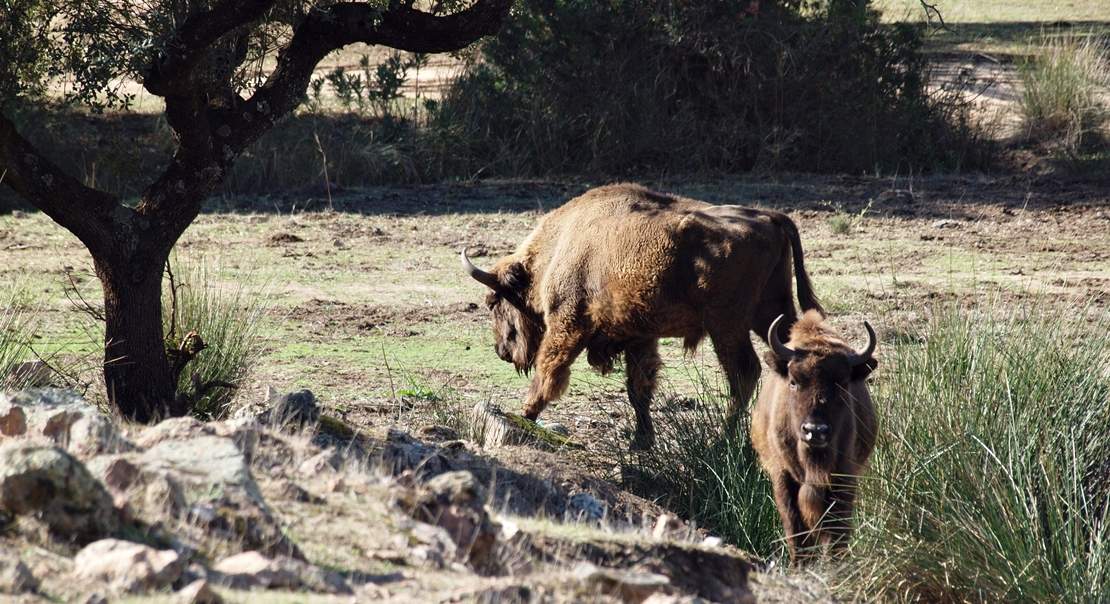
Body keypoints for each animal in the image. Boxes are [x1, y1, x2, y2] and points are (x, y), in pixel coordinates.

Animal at [459, 182, 825, 446]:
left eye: (494, 302)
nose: (502, 351)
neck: (559, 247)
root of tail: (769, 216)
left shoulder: (568, 324)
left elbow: (548, 370)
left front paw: (526, 414)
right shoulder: (640, 336)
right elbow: (639, 388)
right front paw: (642, 441)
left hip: (727, 325)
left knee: (744, 372)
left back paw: (721, 441)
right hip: (771, 313)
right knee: (789, 359)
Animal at [754, 310, 874, 566]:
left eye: (842, 383)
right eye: (793, 381)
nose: (815, 431)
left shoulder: (844, 477)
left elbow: (836, 531)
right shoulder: (783, 477)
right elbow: (796, 531)